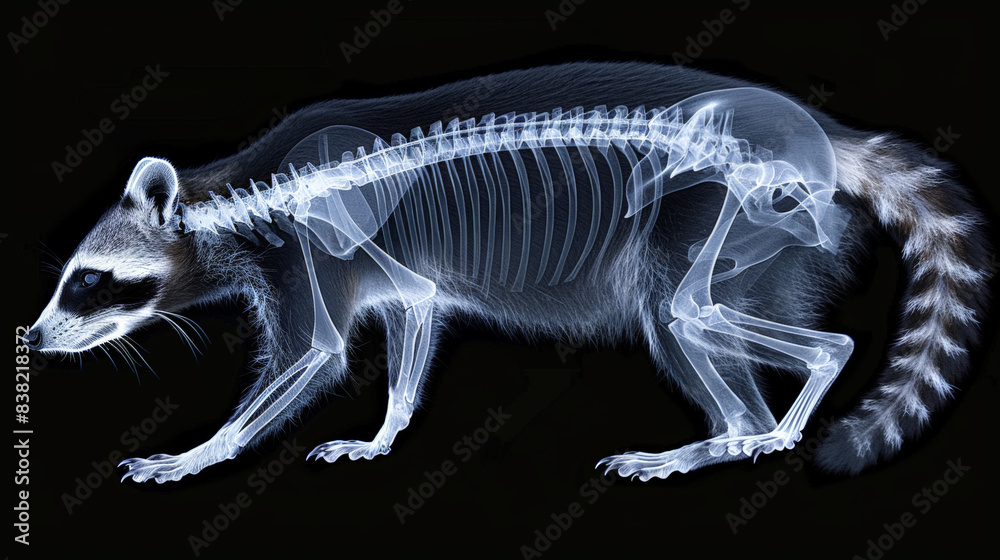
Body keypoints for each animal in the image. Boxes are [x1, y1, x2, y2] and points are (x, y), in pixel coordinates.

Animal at [24, 62, 990, 483]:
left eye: (89, 281)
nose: (32, 336)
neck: (227, 197)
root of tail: (820, 136)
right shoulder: (390, 271)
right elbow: (413, 314)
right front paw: (383, 435)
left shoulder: (308, 246)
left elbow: (315, 356)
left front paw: (198, 454)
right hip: (769, 238)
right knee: (712, 320)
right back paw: (740, 433)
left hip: (723, 206)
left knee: (694, 312)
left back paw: (743, 433)